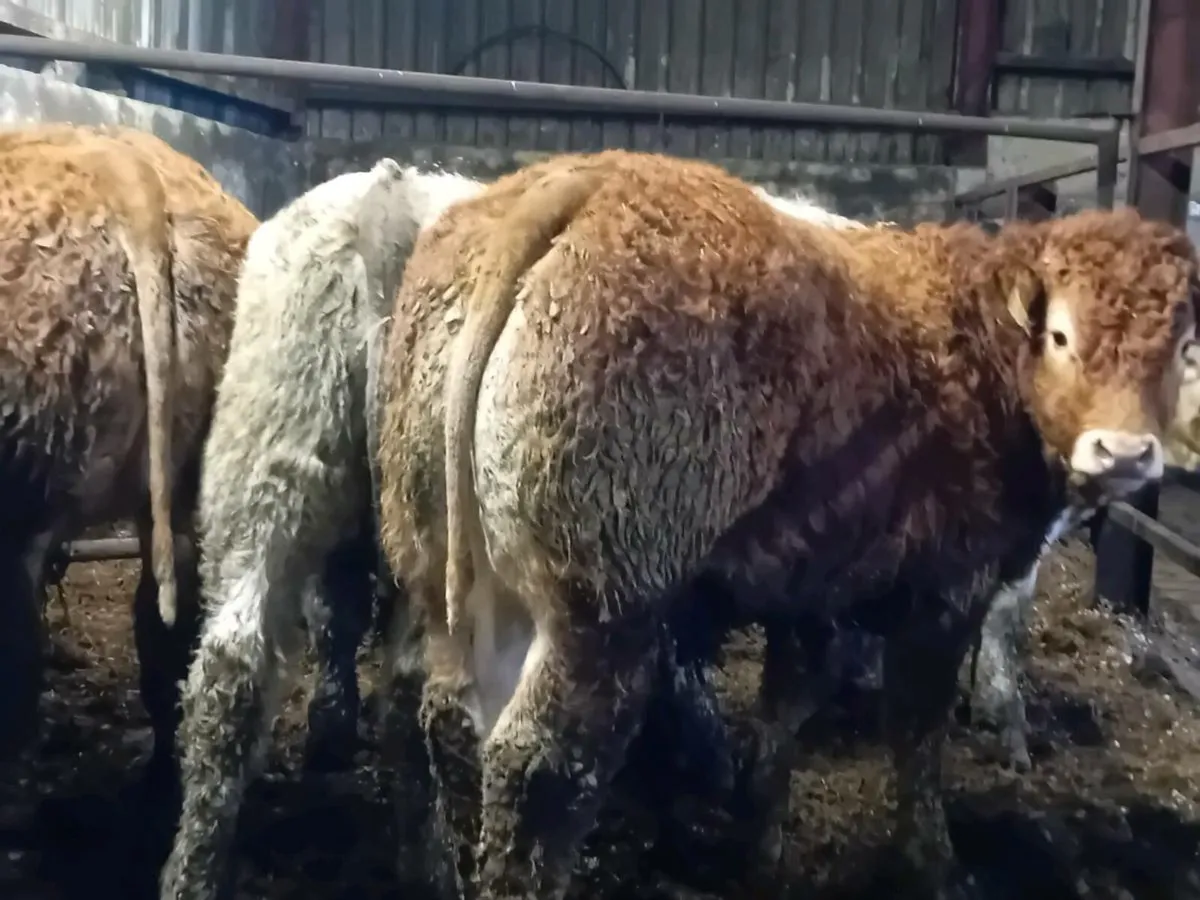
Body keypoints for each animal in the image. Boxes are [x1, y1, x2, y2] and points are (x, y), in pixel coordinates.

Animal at [370, 148, 1194, 900]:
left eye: (1183, 348)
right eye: (1061, 336)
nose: (1125, 452)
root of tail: (586, 178)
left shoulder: (815, 587)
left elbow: (783, 716)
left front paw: (759, 847)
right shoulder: (947, 589)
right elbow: (915, 737)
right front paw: (935, 865)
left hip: (443, 560)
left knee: (448, 720)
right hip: (603, 599)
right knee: (540, 766)